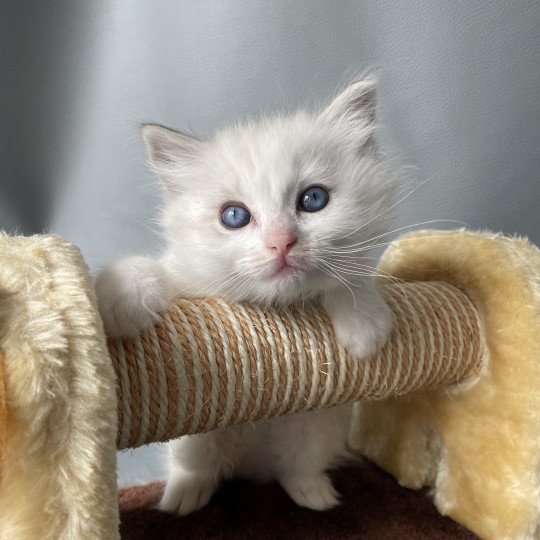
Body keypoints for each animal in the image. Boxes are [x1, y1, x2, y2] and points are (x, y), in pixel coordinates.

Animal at [95, 80, 394, 516]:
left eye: (314, 199)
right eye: (233, 216)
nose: (281, 242)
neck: (272, 306)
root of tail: (255, 465)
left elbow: (348, 278)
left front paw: (364, 326)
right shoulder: (188, 278)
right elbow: (151, 269)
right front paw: (120, 303)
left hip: (316, 425)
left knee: (297, 466)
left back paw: (314, 496)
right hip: (197, 435)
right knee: (198, 466)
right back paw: (182, 499)